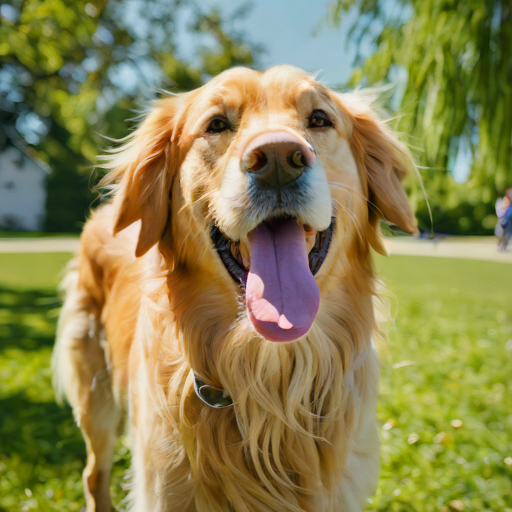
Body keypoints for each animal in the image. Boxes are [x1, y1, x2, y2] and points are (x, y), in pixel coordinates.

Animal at [54, 65, 418, 512]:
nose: (278, 159)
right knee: (93, 473)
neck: (268, 385)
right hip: (97, 396)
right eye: (216, 124)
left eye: (319, 119)